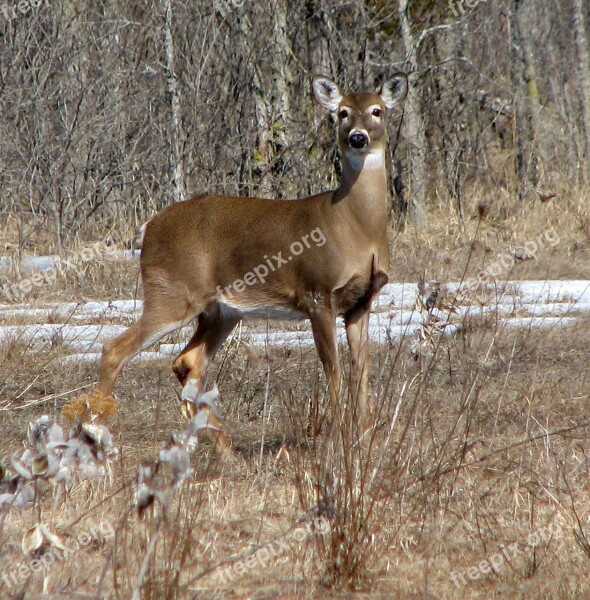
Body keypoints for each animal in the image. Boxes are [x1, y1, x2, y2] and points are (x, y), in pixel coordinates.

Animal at [98, 71, 412, 450]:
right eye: (342, 113)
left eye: (377, 110)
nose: (357, 137)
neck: (356, 227)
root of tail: (149, 227)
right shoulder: (317, 293)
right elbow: (333, 370)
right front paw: (338, 439)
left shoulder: (361, 301)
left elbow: (361, 371)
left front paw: (365, 440)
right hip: (172, 291)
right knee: (115, 349)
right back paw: (98, 437)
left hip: (220, 310)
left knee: (188, 361)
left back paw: (222, 450)